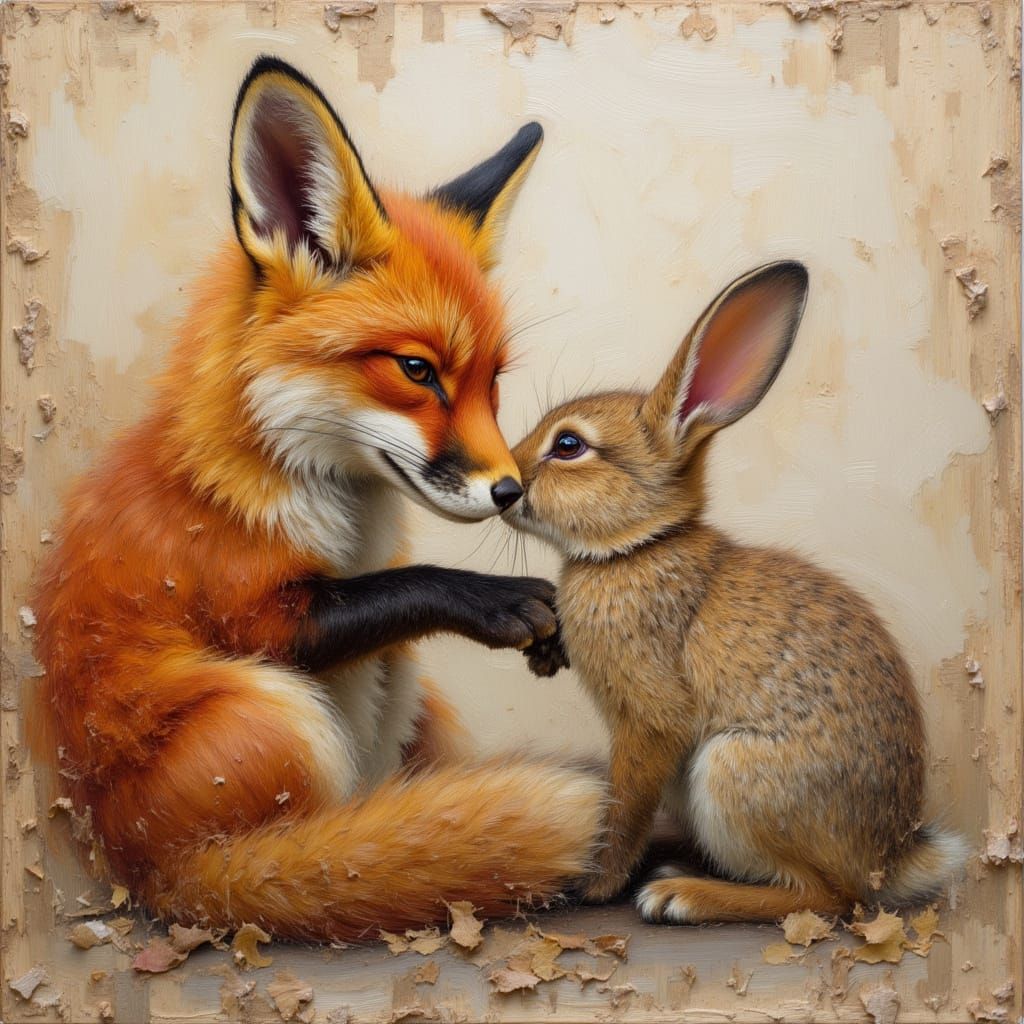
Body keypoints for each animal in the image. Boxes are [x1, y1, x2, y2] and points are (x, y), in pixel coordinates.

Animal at [29, 56, 605, 943]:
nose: (510, 490)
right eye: (417, 371)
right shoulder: (256, 614)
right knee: (297, 858)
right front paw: (499, 597)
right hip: (268, 709)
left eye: (493, 382)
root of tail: (144, 880)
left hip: (406, 689)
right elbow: (408, 585)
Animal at [503, 261, 966, 923]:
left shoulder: (650, 723)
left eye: (569, 445)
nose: (505, 486)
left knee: (824, 897)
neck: (639, 546)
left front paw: (595, 884)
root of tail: (891, 859)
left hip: (732, 776)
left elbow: (626, 805)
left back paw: (680, 894)